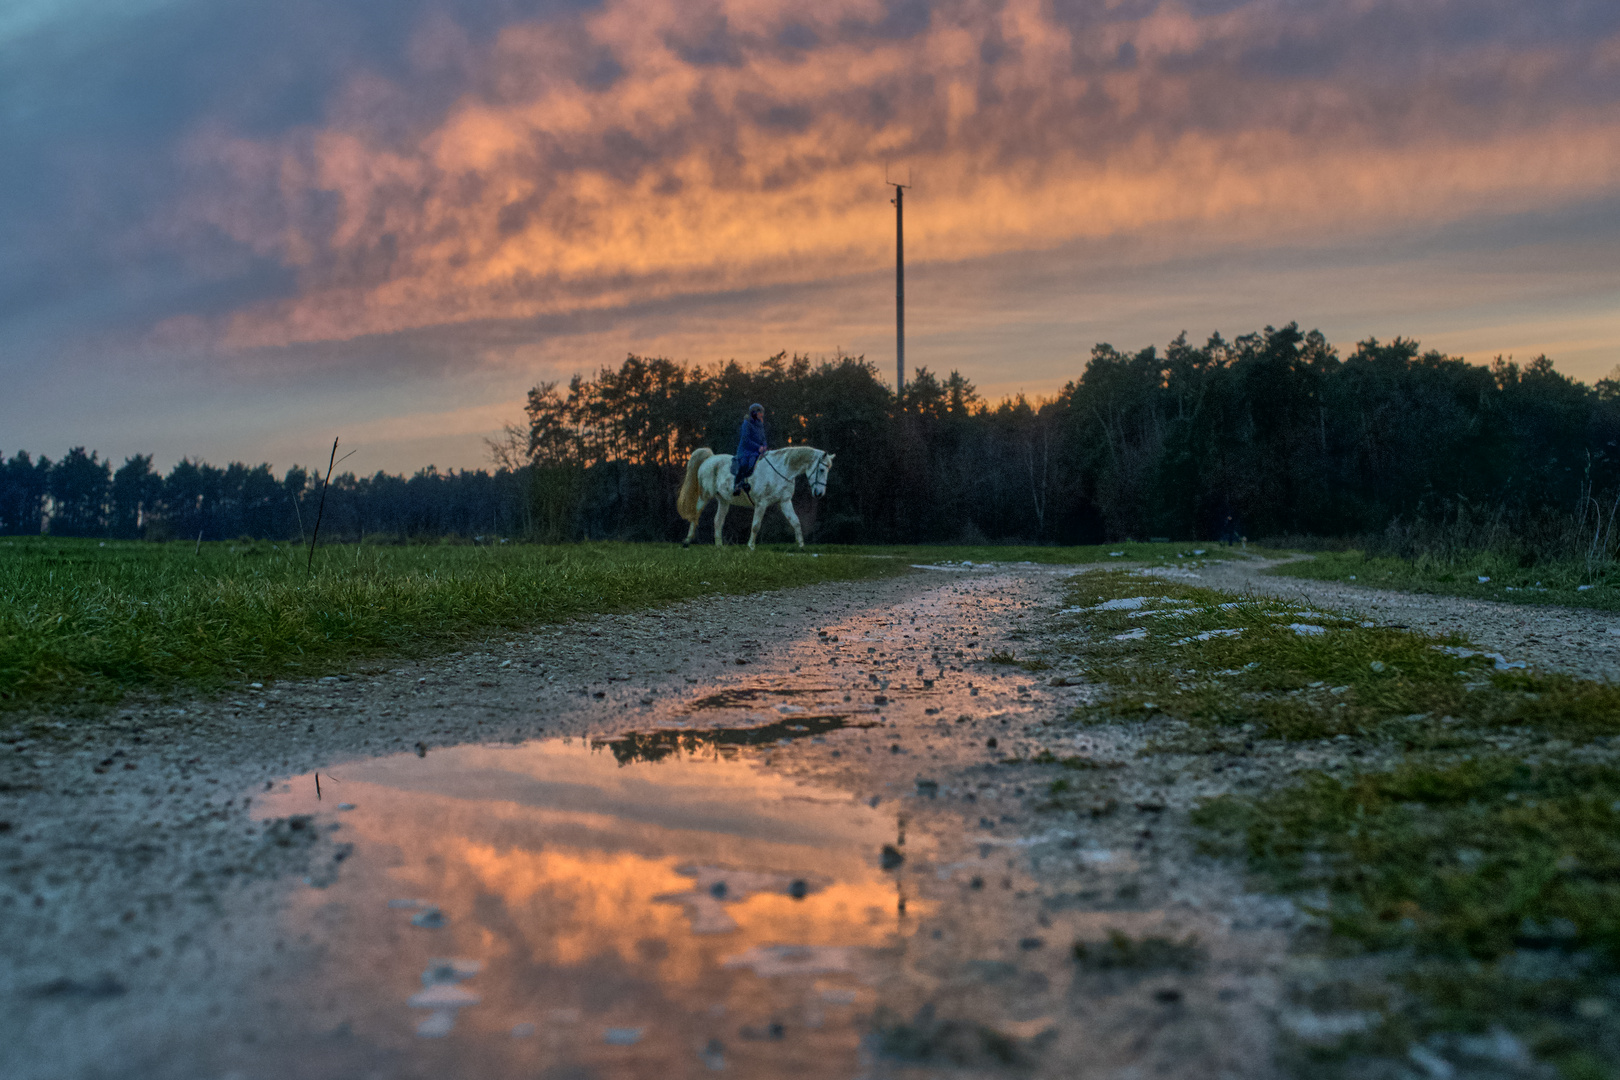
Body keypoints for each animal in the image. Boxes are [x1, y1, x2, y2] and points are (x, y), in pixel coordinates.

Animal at [680, 446, 835, 550]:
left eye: (828, 470)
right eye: (822, 470)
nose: (819, 493)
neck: (781, 471)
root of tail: (709, 459)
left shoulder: (785, 502)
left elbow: (796, 522)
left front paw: (801, 546)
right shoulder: (762, 503)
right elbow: (756, 525)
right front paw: (751, 546)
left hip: (723, 500)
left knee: (718, 521)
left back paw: (719, 546)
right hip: (705, 496)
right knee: (695, 515)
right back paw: (686, 542)